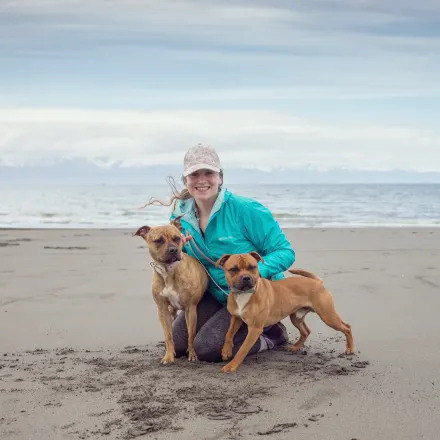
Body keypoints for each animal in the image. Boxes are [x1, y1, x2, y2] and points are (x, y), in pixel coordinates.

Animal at [134, 217, 208, 364]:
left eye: (177, 238)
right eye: (158, 240)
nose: (173, 250)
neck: (168, 271)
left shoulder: (191, 309)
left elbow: (191, 334)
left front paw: (192, 354)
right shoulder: (163, 310)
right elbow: (168, 335)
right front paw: (168, 356)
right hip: (171, 311)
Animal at [217, 253, 354, 372]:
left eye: (252, 267)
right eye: (234, 269)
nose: (246, 277)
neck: (244, 294)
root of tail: (317, 282)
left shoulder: (255, 329)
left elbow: (243, 349)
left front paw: (231, 366)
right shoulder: (236, 318)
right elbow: (228, 334)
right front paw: (226, 351)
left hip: (327, 316)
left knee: (346, 327)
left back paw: (350, 349)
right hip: (296, 317)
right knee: (306, 331)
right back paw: (295, 347)